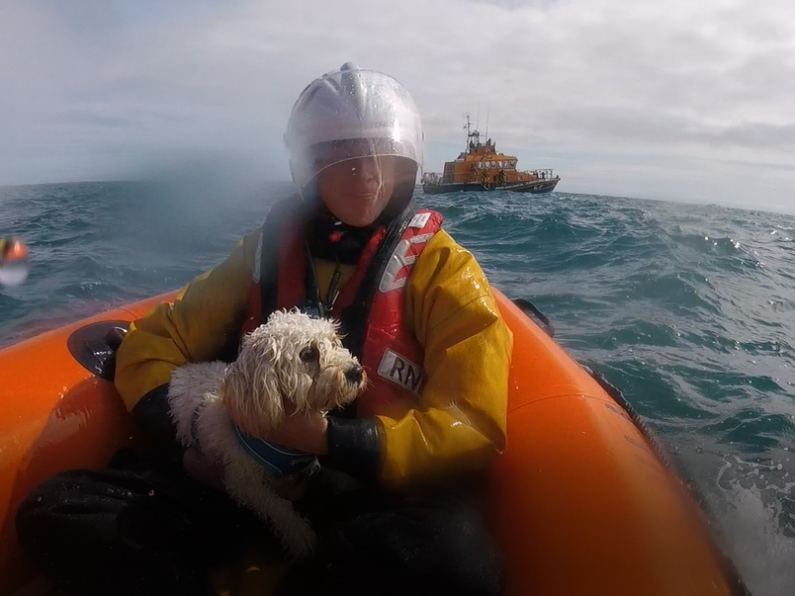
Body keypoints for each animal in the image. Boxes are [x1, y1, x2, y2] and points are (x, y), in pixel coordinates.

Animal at [169, 308, 368, 560]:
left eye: (334, 342)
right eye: (308, 354)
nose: (356, 372)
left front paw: (349, 481)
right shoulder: (243, 481)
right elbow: (277, 506)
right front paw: (299, 533)